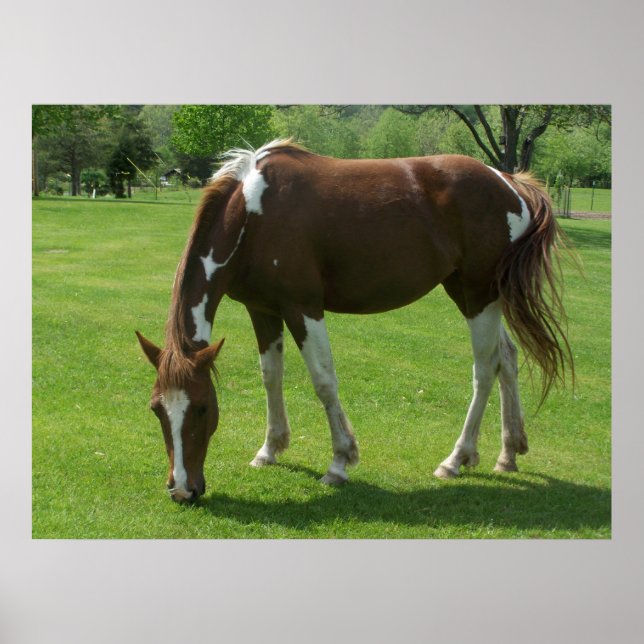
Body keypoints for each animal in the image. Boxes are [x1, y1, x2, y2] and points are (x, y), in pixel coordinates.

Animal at [136, 139, 572, 503]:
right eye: (157, 409)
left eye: (202, 408)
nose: (182, 490)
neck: (253, 215)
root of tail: (509, 182)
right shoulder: (263, 310)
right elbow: (270, 377)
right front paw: (270, 449)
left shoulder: (302, 307)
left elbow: (324, 381)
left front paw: (339, 462)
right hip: (472, 294)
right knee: (508, 359)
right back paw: (508, 453)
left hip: (478, 294)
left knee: (486, 369)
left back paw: (456, 459)